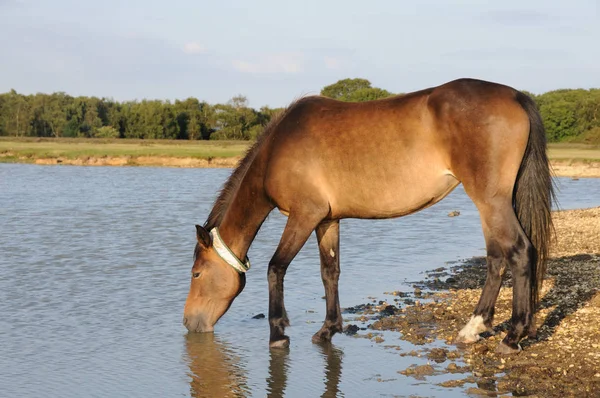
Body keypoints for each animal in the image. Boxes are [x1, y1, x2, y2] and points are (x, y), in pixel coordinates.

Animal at [183, 78, 552, 354]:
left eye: (197, 274)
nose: (189, 323)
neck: (277, 150)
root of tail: (515, 95)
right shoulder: (327, 220)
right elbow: (329, 272)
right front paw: (328, 330)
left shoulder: (304, 215)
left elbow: (276, 268)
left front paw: (278, 334)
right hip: (494, 204)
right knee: (496, 258)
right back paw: (475, 328)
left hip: (490, 201)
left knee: (519, 251)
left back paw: (511, 335)